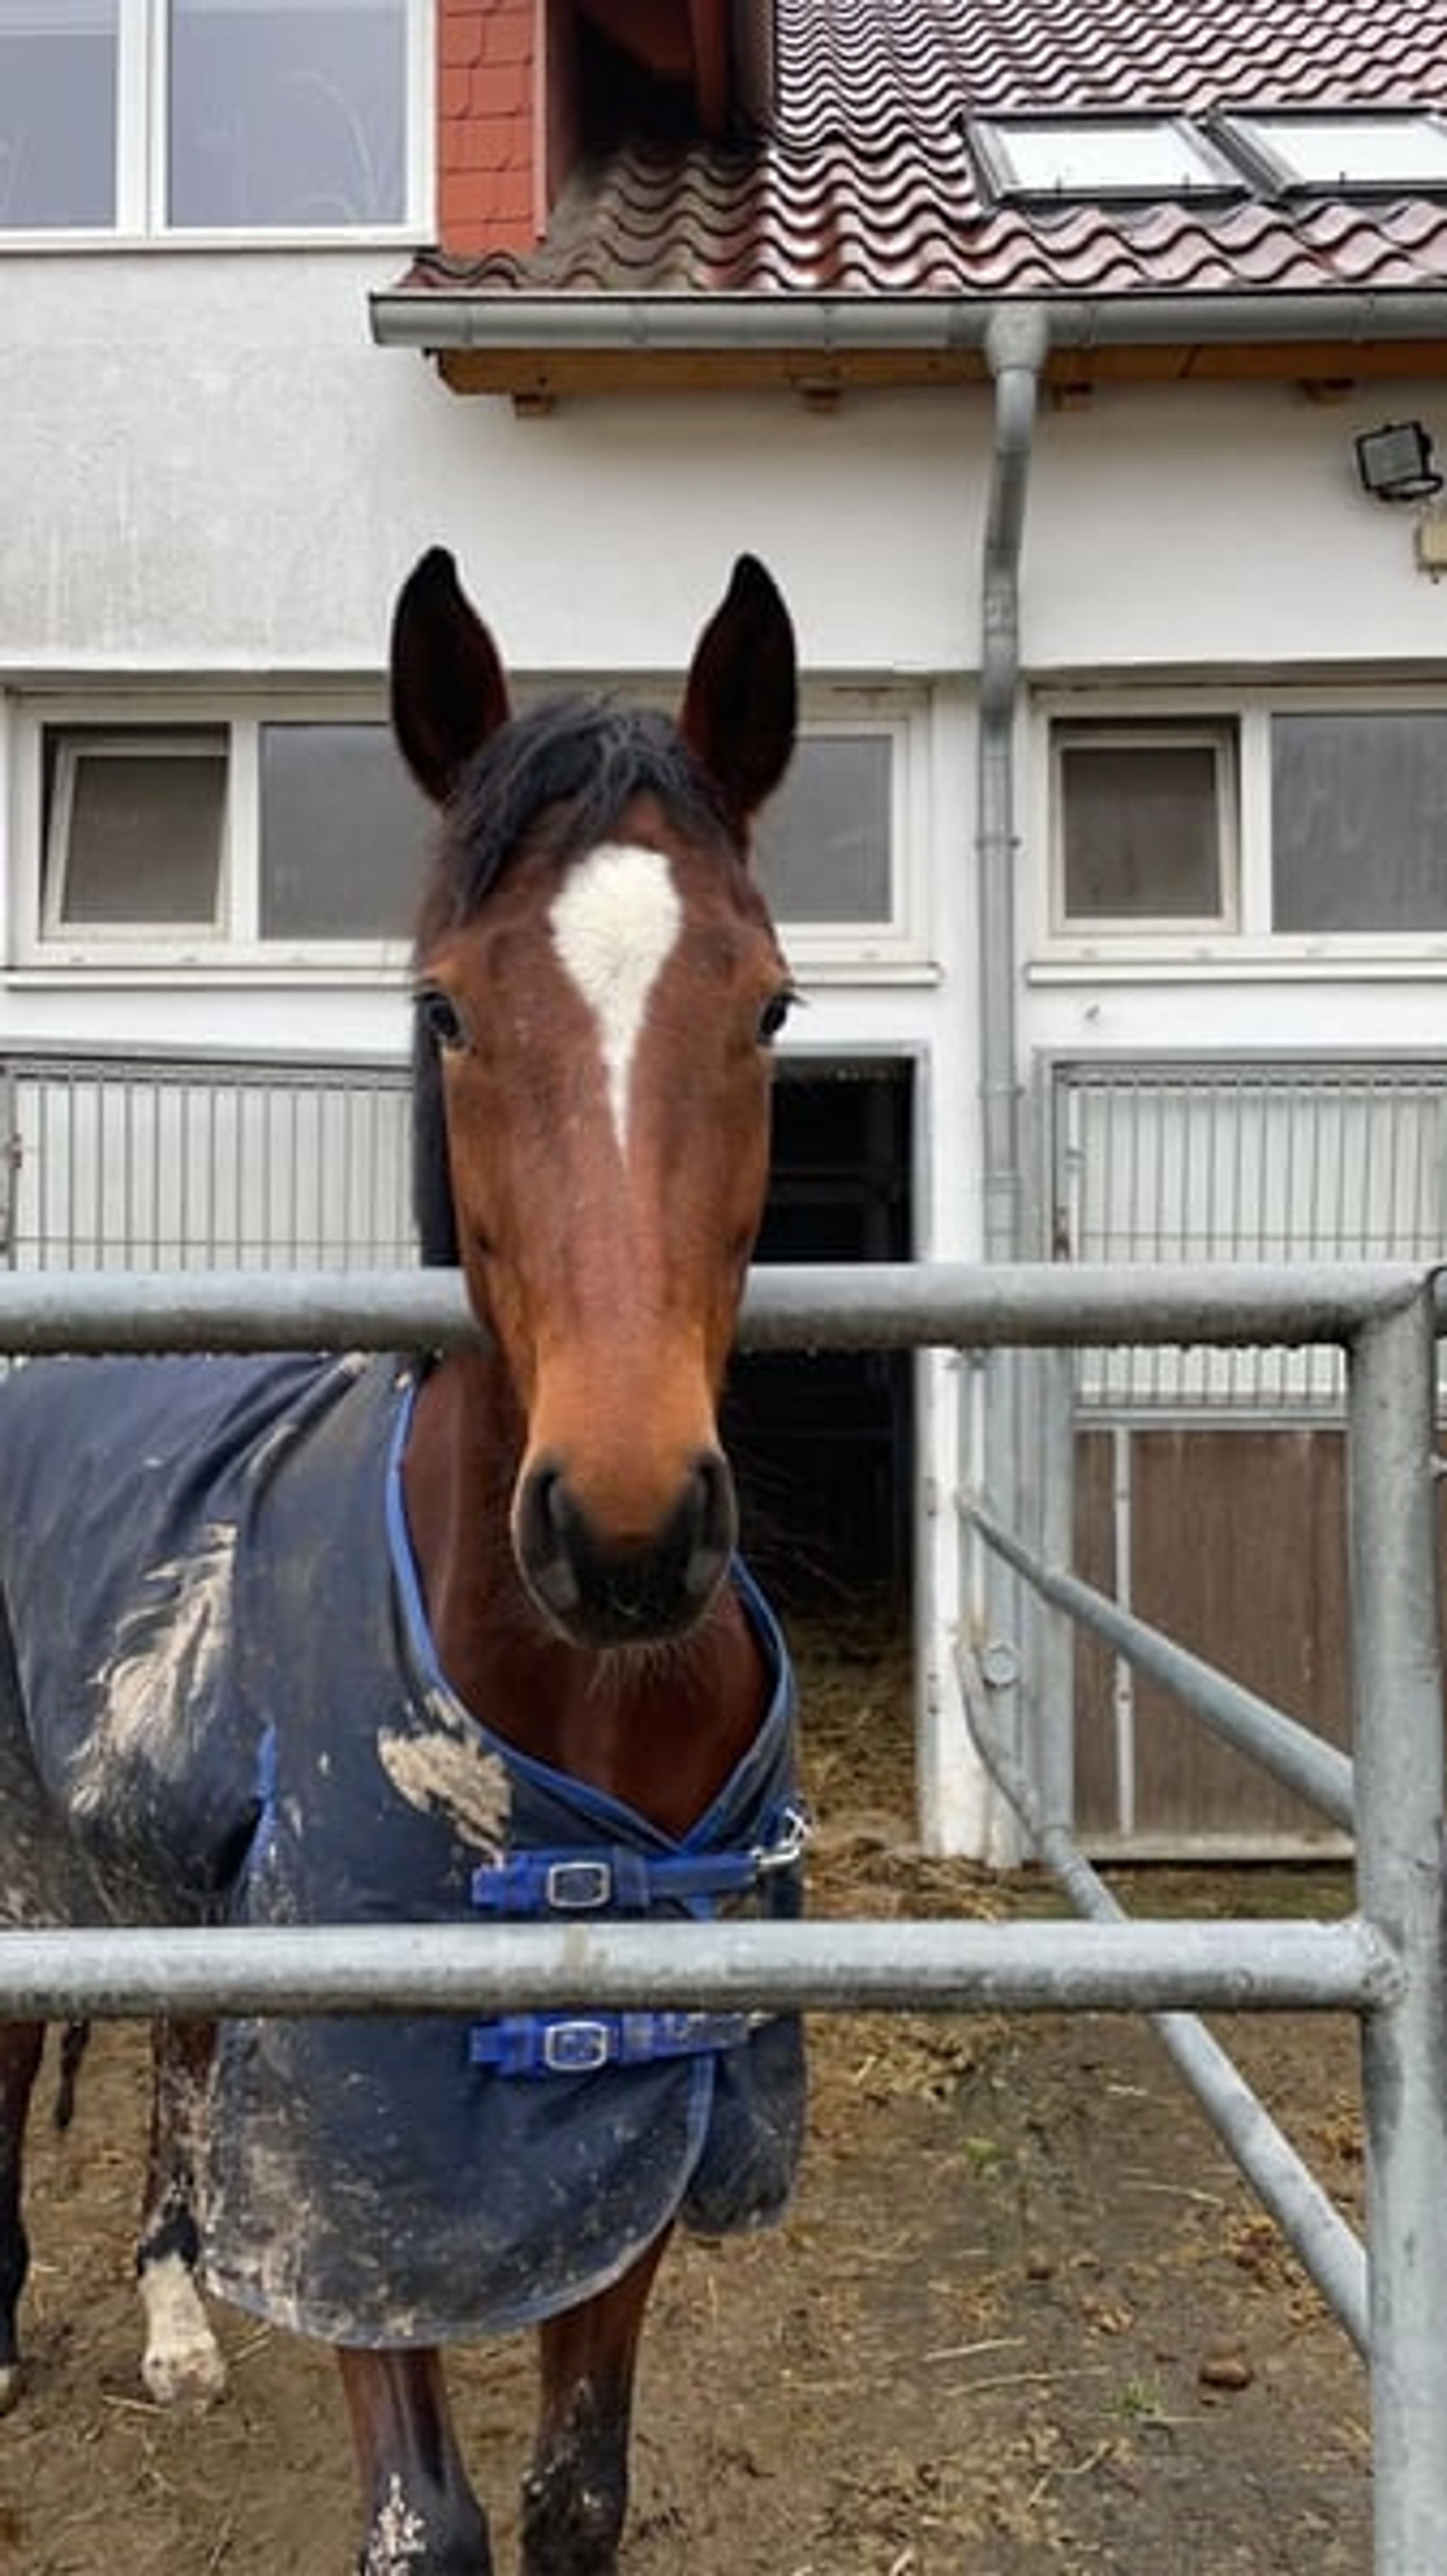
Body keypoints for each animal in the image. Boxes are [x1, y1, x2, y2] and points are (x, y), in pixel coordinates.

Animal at [0, 547, 806, 2574]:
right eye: (446, 1009)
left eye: (769, 1006)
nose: (623, 1531)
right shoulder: (374, 2181)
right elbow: (424, 2521)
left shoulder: (632, 2126)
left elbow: (575, 2493)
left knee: (179, 2059)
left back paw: (176, 2315)